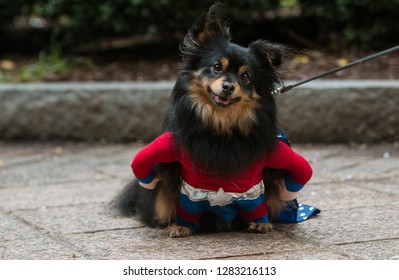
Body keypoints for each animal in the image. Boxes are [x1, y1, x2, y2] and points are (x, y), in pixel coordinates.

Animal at [111, 3, 312, 236]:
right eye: (217, 67)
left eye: (245, 77)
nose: (228, 86)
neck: (221, 123)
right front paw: (180, 226)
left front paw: (260, 222)